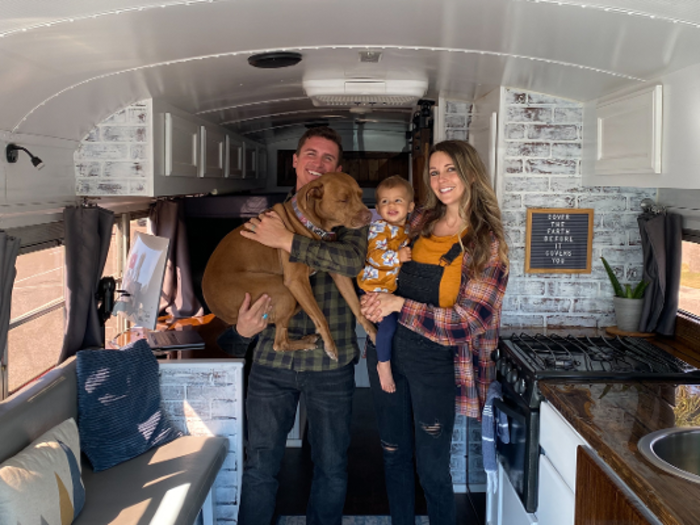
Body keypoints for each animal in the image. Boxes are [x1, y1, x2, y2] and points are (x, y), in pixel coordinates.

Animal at [201, 172, 378, 360]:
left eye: (360, 195)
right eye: (343, 200)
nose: (369, 216)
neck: (308, 222)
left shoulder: (338, 271)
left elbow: (357, 308)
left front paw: (374, 334)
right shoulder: (296, 281)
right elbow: (321, 316)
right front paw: (330, 345)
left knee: (281, 337)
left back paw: (306, 340)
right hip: (283, 290)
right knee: (279, 343)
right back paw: (306, 342)